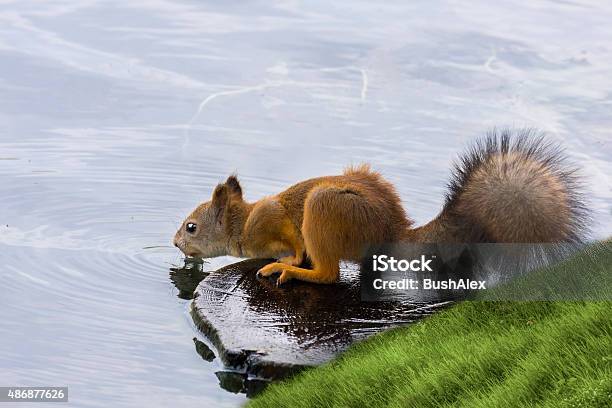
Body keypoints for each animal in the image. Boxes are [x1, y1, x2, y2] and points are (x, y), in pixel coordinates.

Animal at [173, 129, 588, 286]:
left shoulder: (271, 219)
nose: (176, 244)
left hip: (324, 209)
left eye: (191, 227)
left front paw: (287, 260)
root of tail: (392, 231)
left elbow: (292, 242)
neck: (241, 224)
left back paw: (291, 271)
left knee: (328, 274)